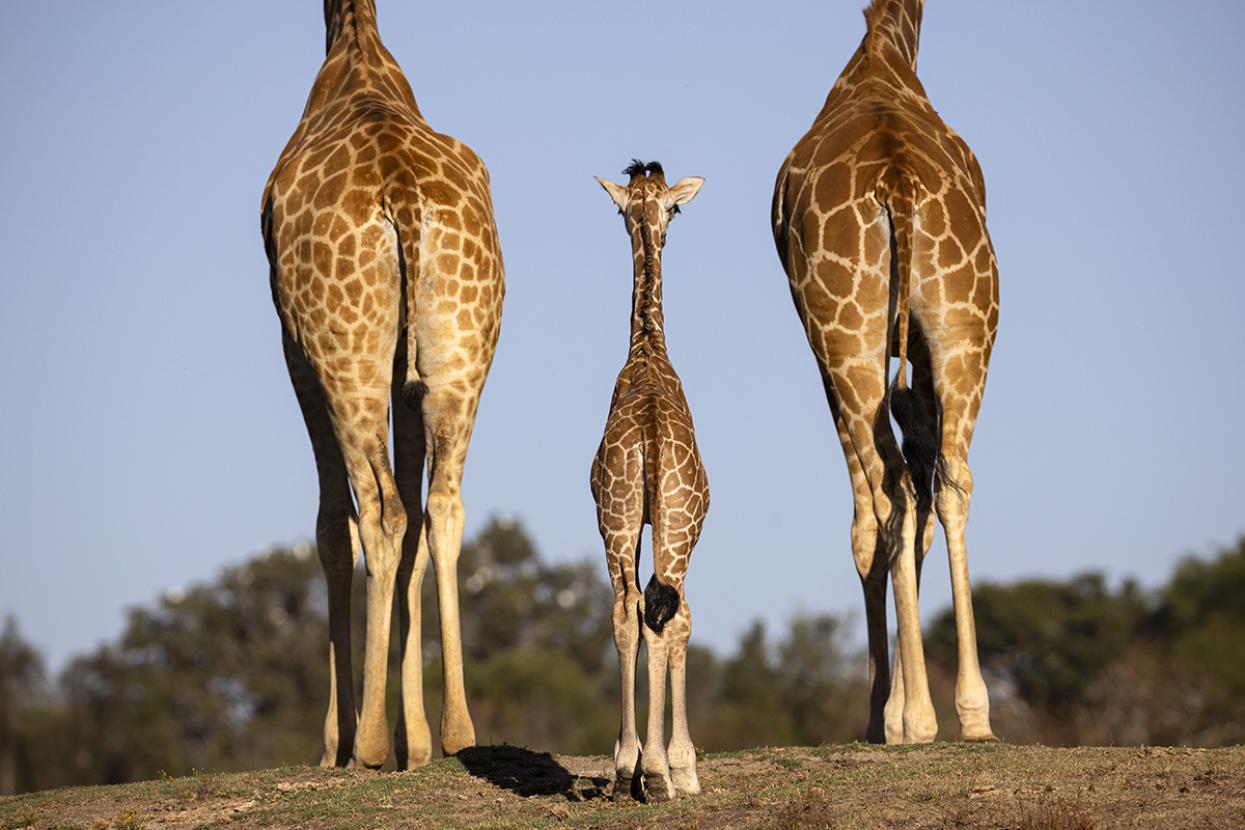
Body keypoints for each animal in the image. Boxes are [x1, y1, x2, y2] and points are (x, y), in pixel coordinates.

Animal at [260, 0, 503, 769]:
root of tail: (401, 193)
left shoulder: (295, 346)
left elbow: (330, 524)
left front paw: (337, 741)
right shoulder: (408, 375)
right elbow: (420, 520)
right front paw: (414, 738)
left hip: (347, 356)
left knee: (383, 511)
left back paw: (365, 742)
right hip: (462, 355)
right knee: (442, 507)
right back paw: (455, 732)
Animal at [772, 0, 998, 745]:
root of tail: (895, 183)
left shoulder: (823, 342)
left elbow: (868, 519)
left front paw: (882, 711)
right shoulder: (917, 354)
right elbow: (923, 501)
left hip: (848, 331)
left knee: (893, 487)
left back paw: (917, 716)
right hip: (964, 323)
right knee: (949, 479)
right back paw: (969, 712)